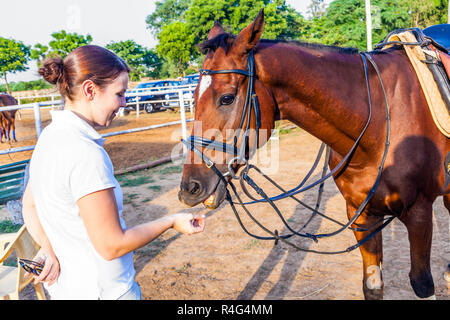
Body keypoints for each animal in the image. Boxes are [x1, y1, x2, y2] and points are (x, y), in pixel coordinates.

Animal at [178, 10, 450, 300]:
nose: (190, 187)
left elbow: (422, 283)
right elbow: (373, 285)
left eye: (227, 98)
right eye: (193, 95)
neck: (380, 118)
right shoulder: (362, 215)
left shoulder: (419, 213)